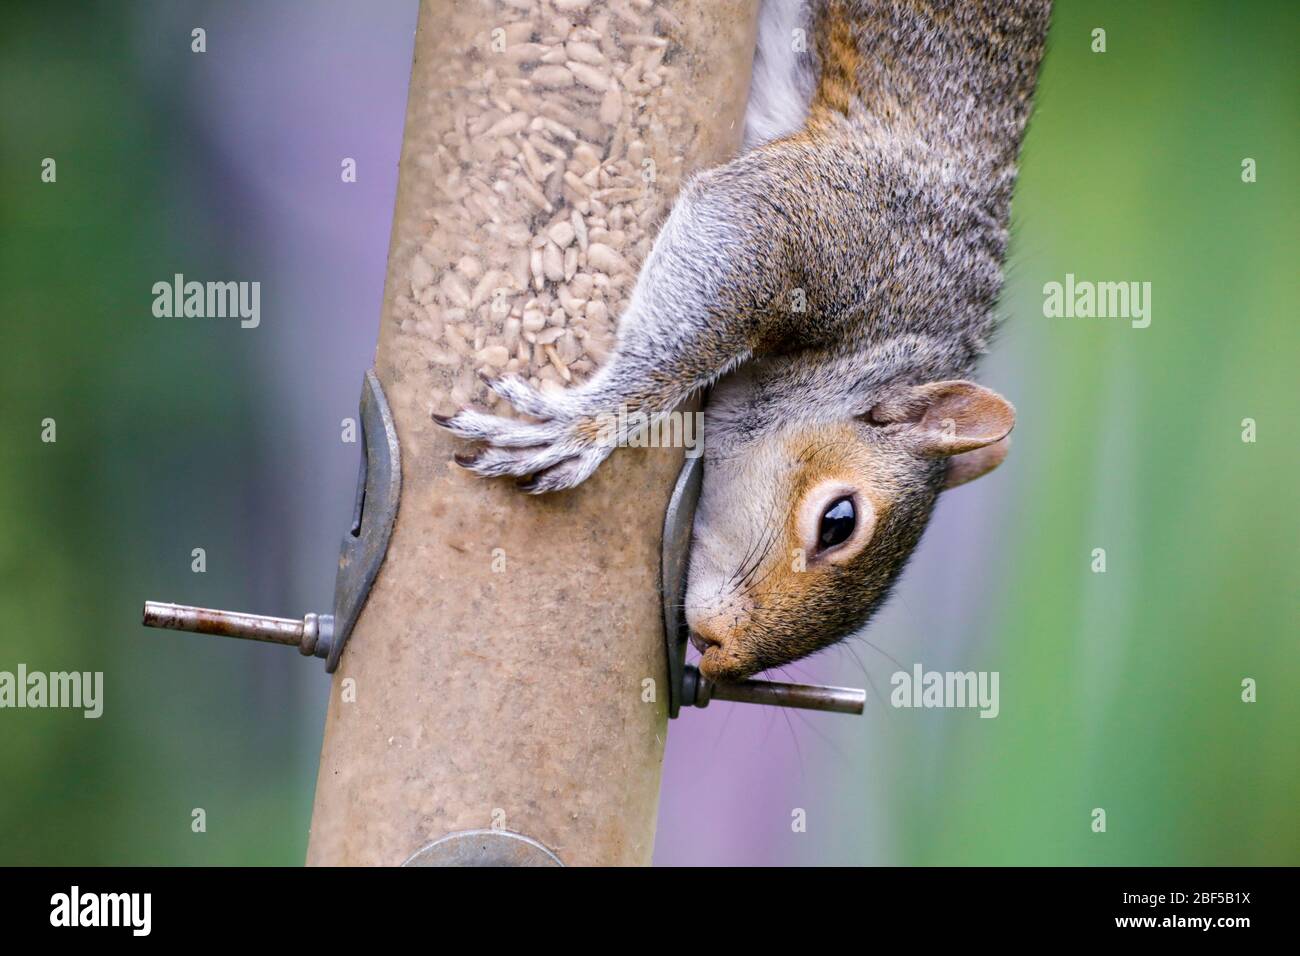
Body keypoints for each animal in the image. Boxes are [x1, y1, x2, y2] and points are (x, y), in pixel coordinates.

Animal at [441, 3, 1050, 686]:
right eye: (839, 523)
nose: (722, 655)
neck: (895, 338)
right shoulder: (853, 227)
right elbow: (742, 234)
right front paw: (591, 422)